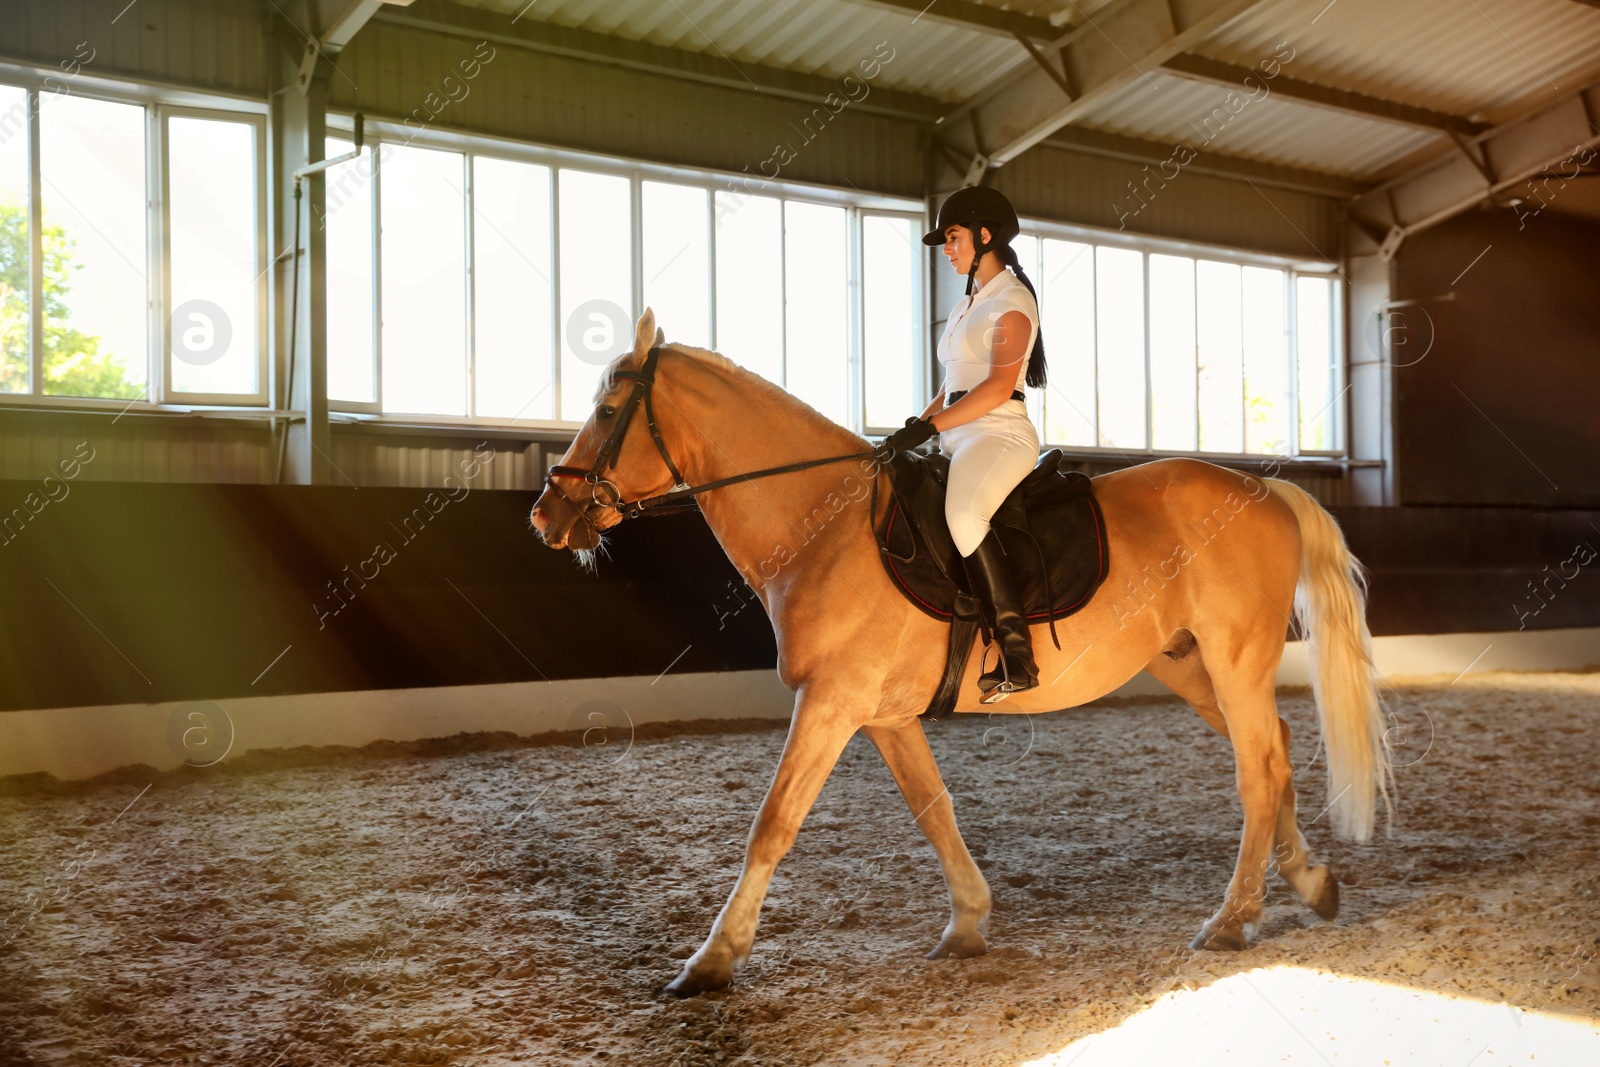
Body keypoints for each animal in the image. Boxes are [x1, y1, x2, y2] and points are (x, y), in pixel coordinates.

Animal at [534, 310, 1388, 1004]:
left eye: (606, 411)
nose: (546, 513)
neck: (823, 524)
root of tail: (1269, 493)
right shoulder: (881, 714)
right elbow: (933, 807)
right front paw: (970, 922)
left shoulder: (831, 701)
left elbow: (772, 823)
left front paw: (712, 960)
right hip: (1192, 666)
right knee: (1276, 751)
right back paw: (1311, 883)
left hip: (1234, 663)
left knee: (1258, 771)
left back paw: (1233, 918)